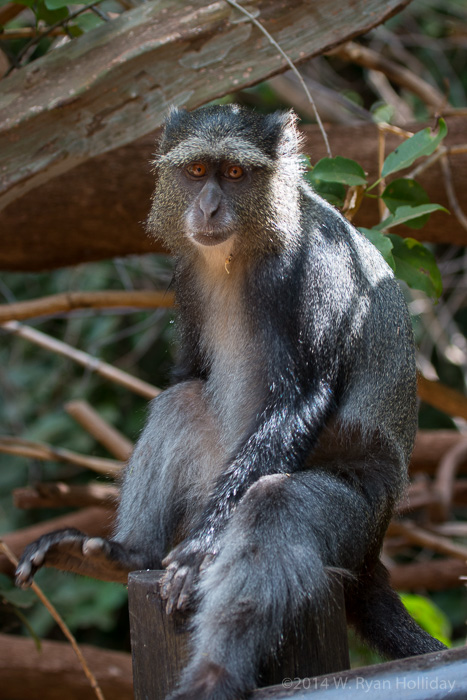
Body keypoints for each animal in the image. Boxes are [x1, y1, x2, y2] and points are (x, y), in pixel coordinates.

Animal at [16, 104, 446, 700]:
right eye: (197, 171)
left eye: (236, 174)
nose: (209, 206)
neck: (242, 250)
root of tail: (374, 553)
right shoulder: (185, 274)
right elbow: (190, 375)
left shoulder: (310, 268)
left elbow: (299, 397)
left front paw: (198, 551)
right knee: (182, 401)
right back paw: (130, 555)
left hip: (358, 512)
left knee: (273, 503)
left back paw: (212, 675)